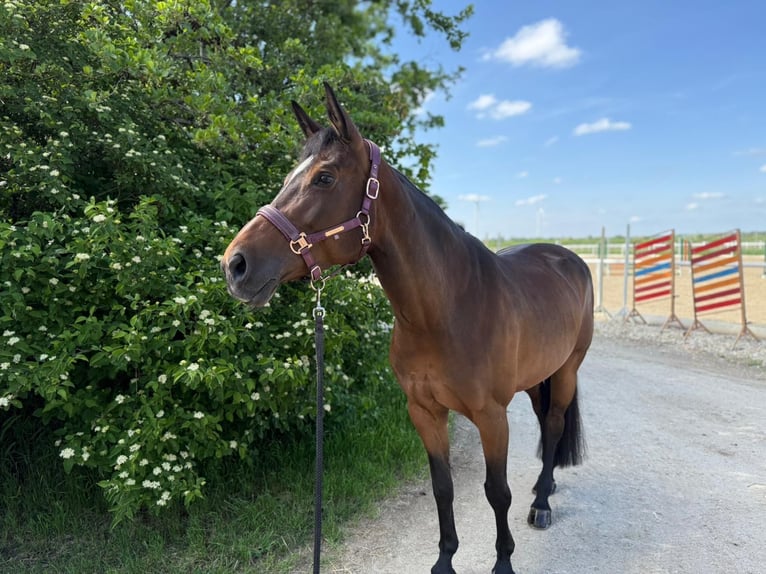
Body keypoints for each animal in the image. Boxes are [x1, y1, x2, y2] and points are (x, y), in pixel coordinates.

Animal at [221, 83, 593, 574]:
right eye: (288, 177)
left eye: (324, 178)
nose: (235, 265)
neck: (445, 311)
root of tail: (568, 258)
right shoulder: (424, 411)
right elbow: (442, 487)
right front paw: (444, 560)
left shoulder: (492, 416)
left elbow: (497, 493)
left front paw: (503, 563)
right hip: (537, 377)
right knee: (544, 421)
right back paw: (542, 487)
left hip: (567, 370)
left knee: (552, 425)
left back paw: (543, 506)